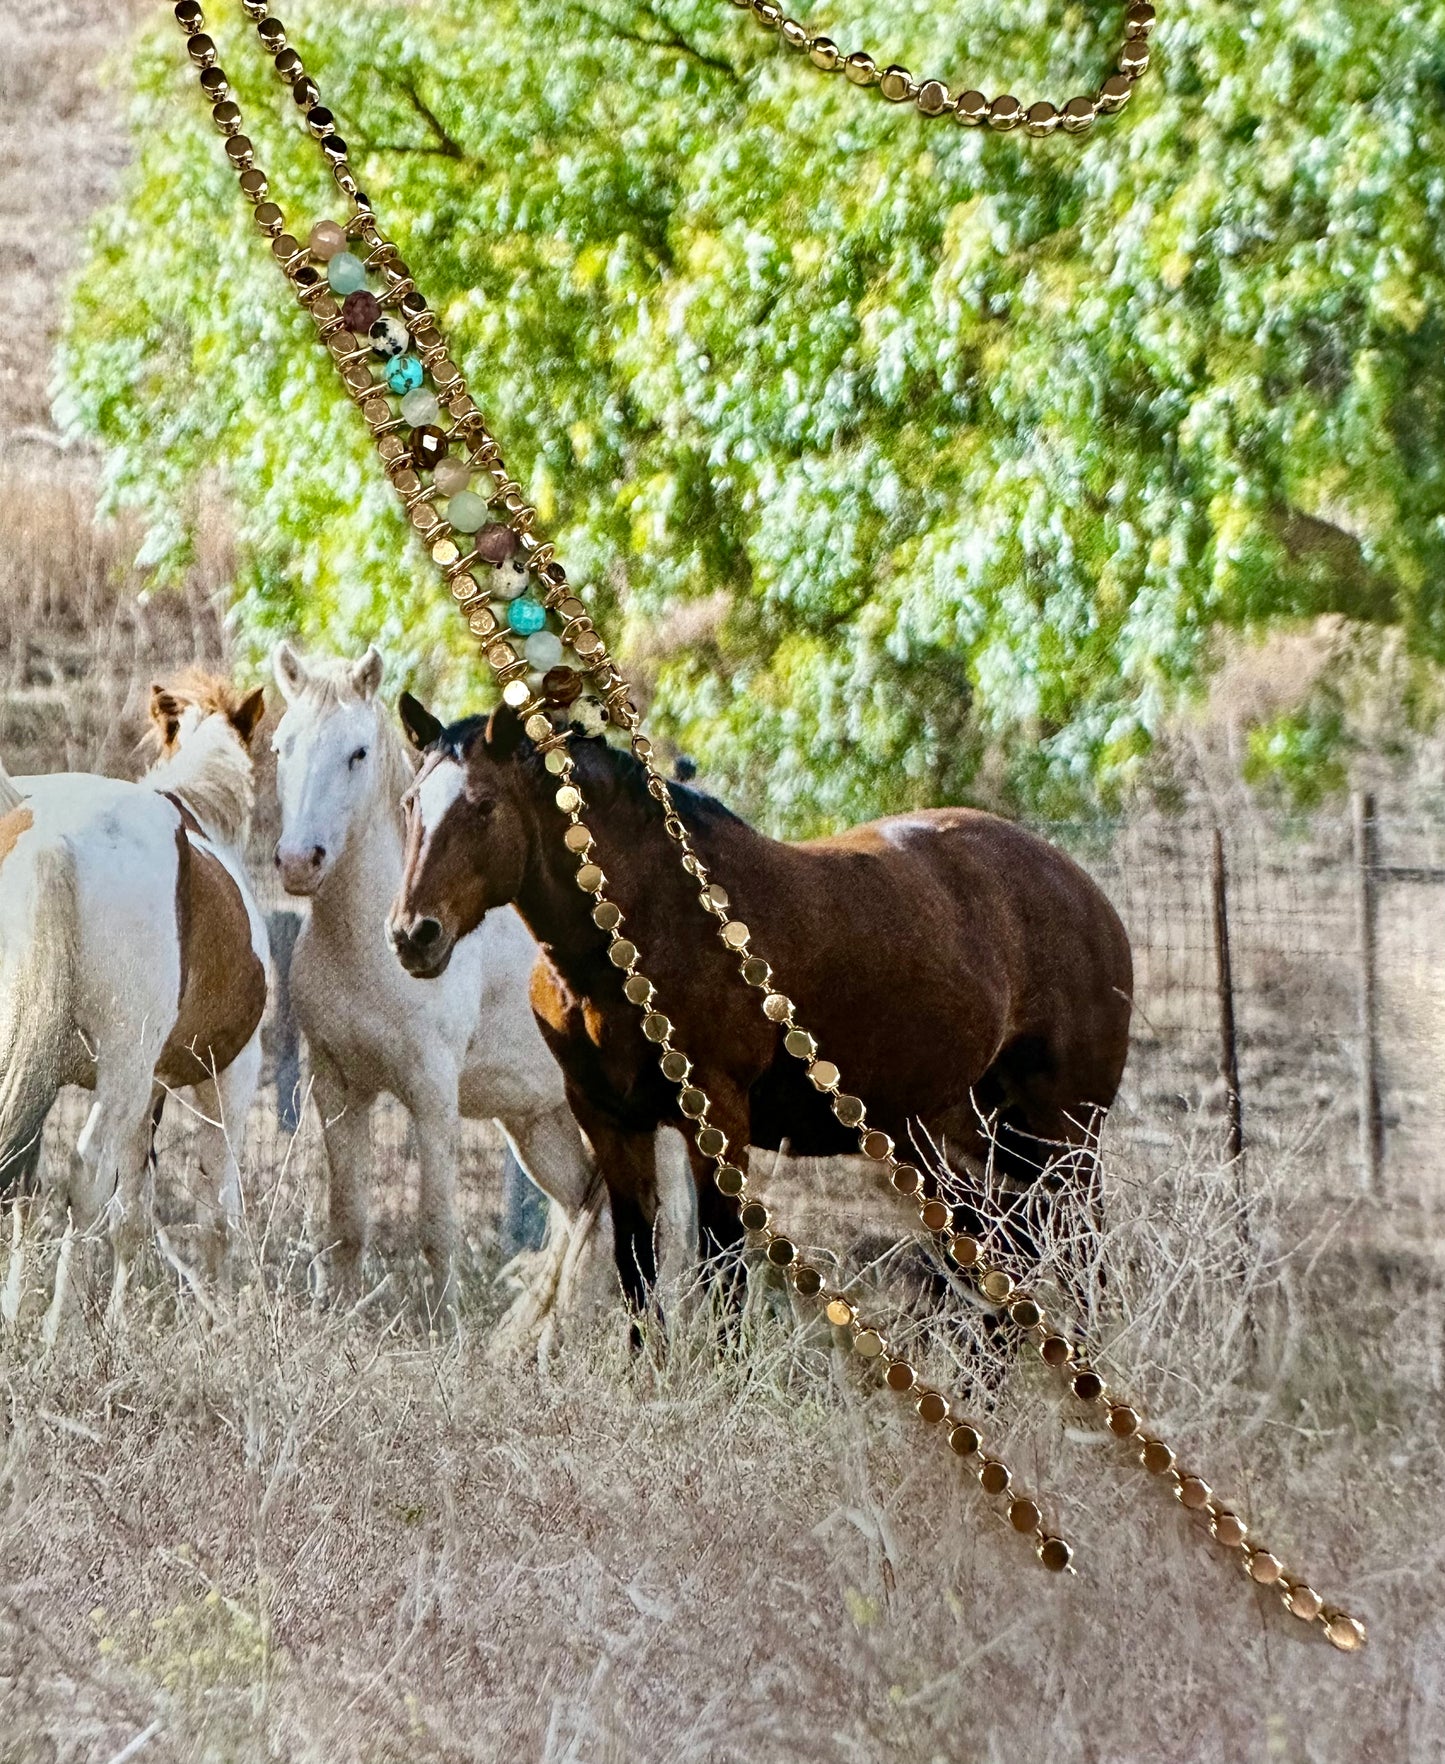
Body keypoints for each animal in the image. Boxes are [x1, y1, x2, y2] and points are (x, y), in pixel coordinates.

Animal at [0, 673, 271, 1326]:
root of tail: (49, 832)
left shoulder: (147, 1087)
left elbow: (131, 1213)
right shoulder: (226, 1078)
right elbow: (216, 1207)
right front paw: (221, 1320)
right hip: (125, 1068)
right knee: (87, 1174)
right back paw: (56, 1329)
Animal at [273, 642, 677, 1340]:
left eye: (356, 753)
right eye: (281, 746)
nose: (301, 861)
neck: (362, 950)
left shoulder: (432, 1095)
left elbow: (438, 1228)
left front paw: (444, 1333)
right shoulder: (337, 1088)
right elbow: (346, 1225)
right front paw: (339, 1324)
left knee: (681, 1231)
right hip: (541, 1122)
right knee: (583, 1216)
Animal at [389, 698, 1136, 1298]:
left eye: (483, 805)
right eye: (409, 804)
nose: (412, 934)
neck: (644, 927)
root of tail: (1084, 890)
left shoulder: (718, 1120)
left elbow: (721, 1272)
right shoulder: (608, 1121)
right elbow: (637, 1270)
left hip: (1066, 1137)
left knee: (1082, 1259)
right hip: (958, 1144)